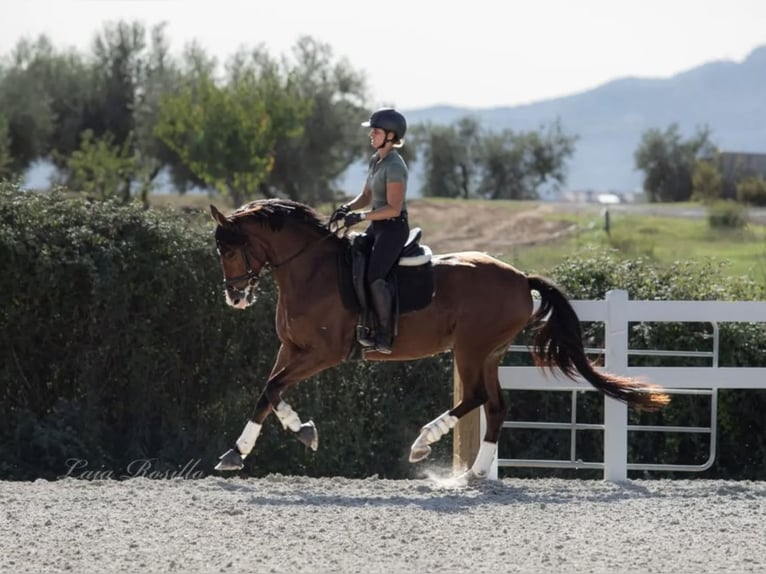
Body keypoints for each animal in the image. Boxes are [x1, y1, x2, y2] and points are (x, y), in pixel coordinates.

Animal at [209, 198, 669, 481]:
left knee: (477, 398)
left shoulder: (325, 352)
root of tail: (520, 278)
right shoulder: (291, 348)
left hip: (469, 349)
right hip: (489, 353)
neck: (310, 270)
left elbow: (273, 387)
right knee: (497, 406)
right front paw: (258, 445)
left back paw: (424, 442)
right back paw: (474, 473)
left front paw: (273, 440)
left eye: (229, 250)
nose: (235, 297)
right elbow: (269, 391)